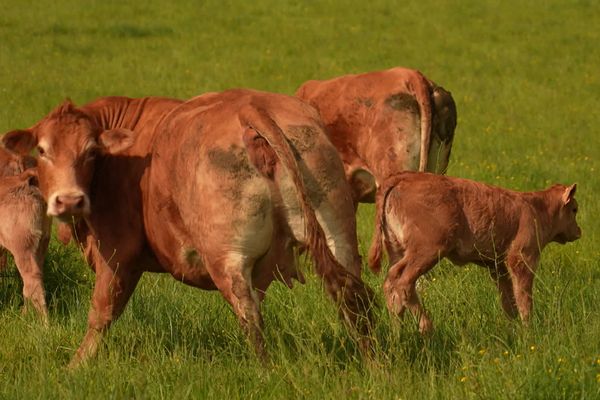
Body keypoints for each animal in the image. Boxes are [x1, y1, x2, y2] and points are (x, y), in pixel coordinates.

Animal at [368, 171, 580, 332]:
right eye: (575, 209)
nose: (579, 231)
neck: (536, 207)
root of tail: (402, 178)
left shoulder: (497, 265)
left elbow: (508, 298)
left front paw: (512, 328)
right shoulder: (522, 259)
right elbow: (523, 296)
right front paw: (528, 329)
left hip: (398, 251)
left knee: (393, 283)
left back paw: (398, 332)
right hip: (427, 252)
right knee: (403, 281)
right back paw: (426, 328)